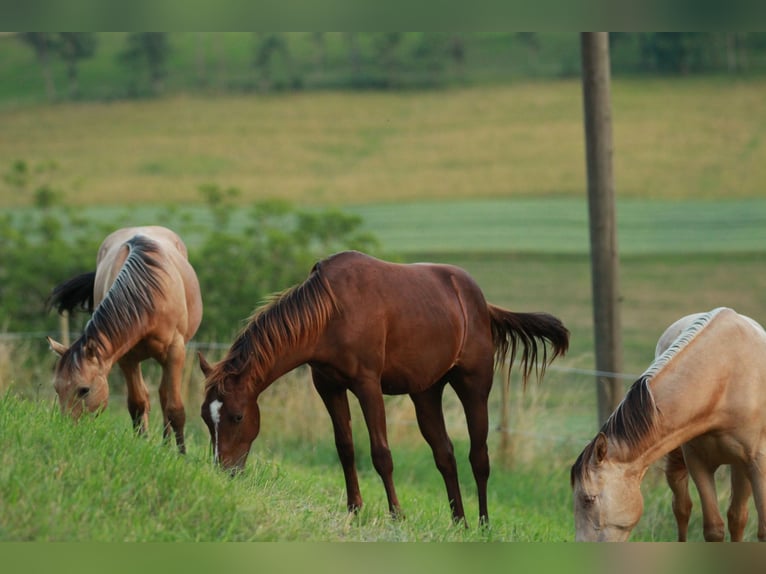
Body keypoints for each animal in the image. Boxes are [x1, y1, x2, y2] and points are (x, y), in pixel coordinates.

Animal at [47, 227, 204, 456]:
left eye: (84, 390)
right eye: (57, 388)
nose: (67, 429)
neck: (147, 294)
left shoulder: (175, 352)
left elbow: (175, 408)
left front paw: (182, 455)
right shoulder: (127, 358)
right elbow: (138, 404)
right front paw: (141, 445)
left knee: (164, 396)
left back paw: (167, 445)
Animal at [198, 252, 568, 528]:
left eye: (236, 416)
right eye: (205, 418)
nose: (223, 470)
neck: (332, 311)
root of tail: (482, 303)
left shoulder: (367, 385)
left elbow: (381, 454)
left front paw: (396, 514)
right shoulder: (328, 386)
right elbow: (346, 448)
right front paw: (354, 509)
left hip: (474, 386)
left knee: (479, 457)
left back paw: (483, 523)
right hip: (426, 394)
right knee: (445, 454)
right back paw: (458, 521)